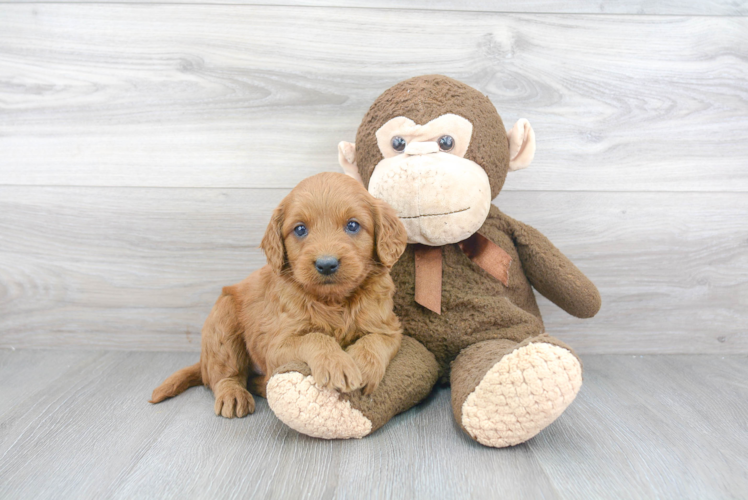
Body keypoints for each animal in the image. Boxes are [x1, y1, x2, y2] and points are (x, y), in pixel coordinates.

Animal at [151, 172, 406, 418]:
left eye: (353, 225)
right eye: (300, 229)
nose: (326, 264)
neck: (333, 300)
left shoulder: (389, 327)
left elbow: (374, 341)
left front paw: (363, 366)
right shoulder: (277, 344)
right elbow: (315, 337)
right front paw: (336, 364)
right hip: (222, 321)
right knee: (224, 375)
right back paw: (233, 395)